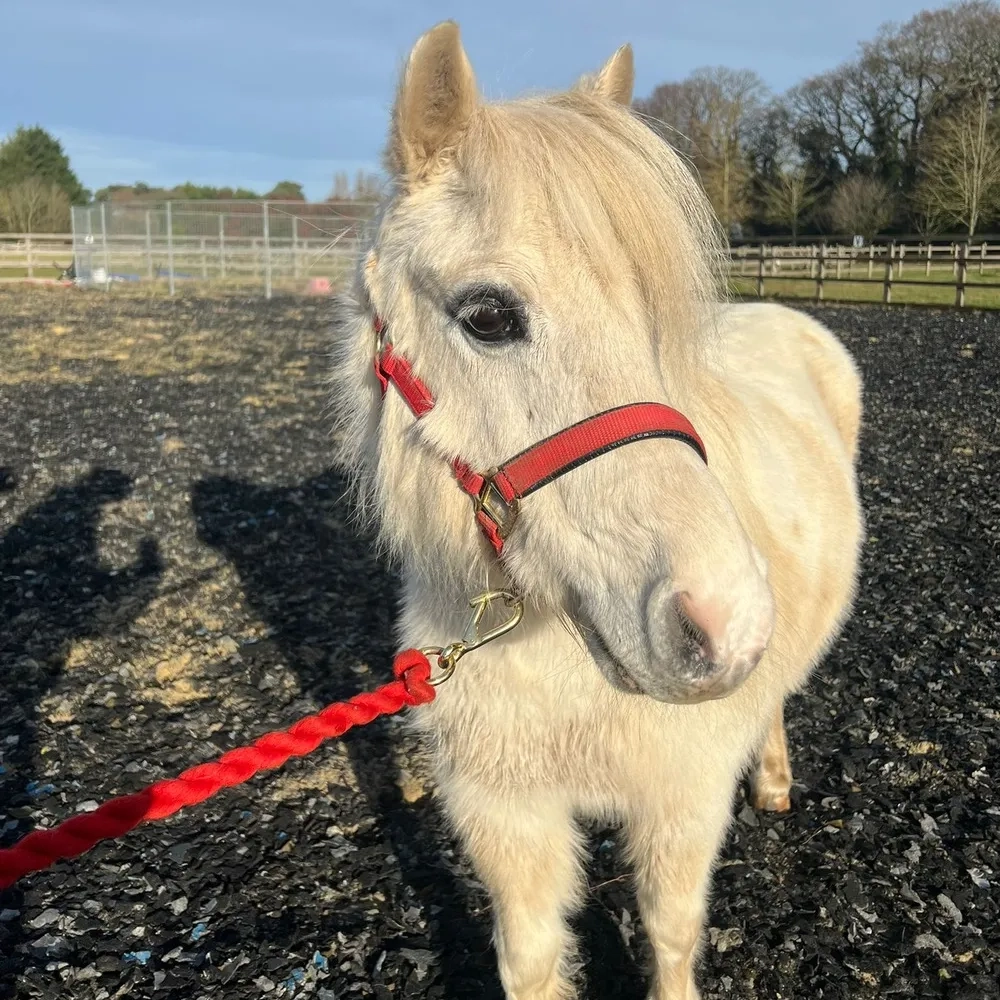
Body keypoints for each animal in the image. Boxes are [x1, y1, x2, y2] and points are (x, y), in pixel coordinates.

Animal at [328, 21, 864, 1000]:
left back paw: (772, 779)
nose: (720, 623)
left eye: (655, 320)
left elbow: (672, 932)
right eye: (487, 316)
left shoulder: (683, 796)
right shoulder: (506, 813)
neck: (554, 656)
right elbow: (531, 956)